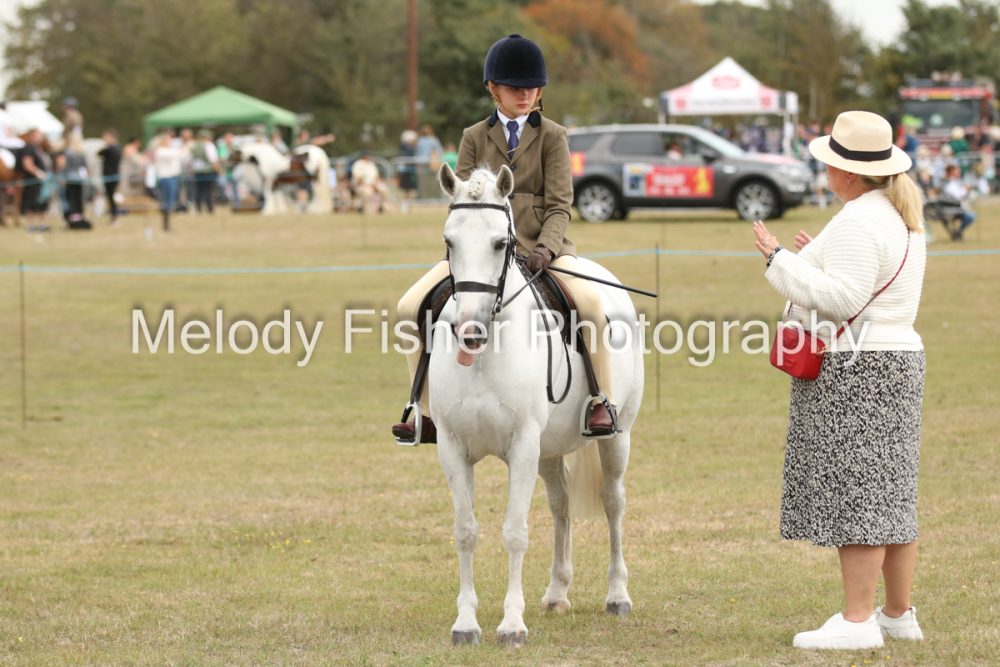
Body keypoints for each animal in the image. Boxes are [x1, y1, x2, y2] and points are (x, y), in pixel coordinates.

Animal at [424, 163, 643, 647]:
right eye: (449, 240)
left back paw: (618, 596)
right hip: (549, 449)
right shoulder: (452, 447)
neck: (485, 356)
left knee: (614, 502)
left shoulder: (522, 445)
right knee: (561, 506)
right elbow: (465, 531)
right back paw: (557, 593)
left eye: (499, 243)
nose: (469, 331)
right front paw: (466, 623)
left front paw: (511, 625)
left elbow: (515, 532)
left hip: (616, 437)